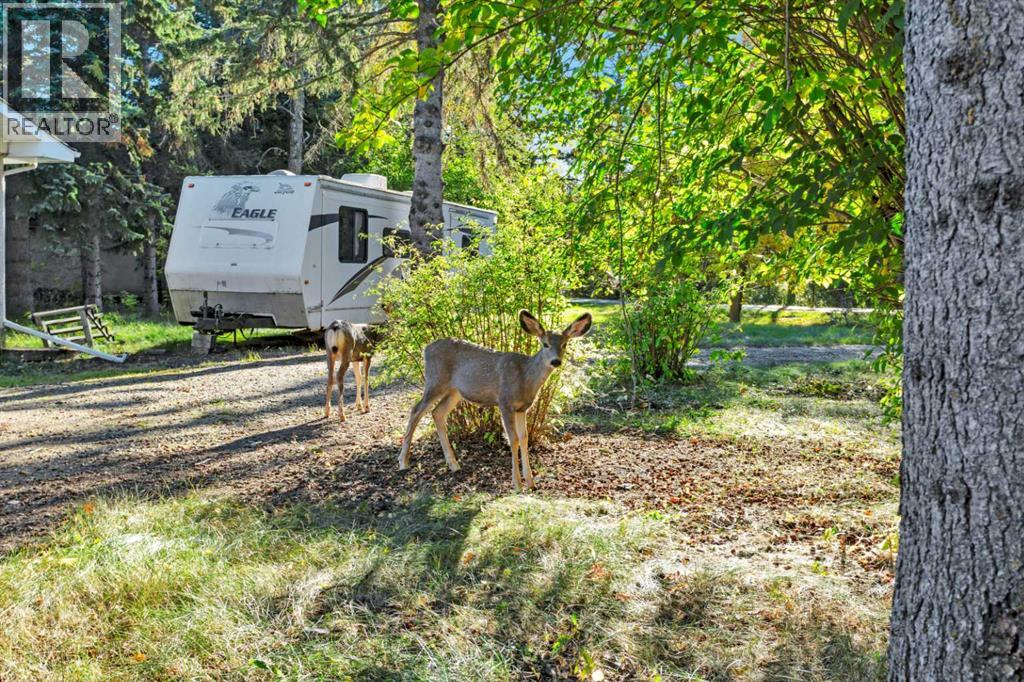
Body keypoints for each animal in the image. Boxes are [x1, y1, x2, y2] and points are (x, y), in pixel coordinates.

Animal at [398, 309, 593, 491]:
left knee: (437, 412)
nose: (556, 361)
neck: (525, 378)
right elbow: (513, 439)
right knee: (416, 410)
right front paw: (517, 484)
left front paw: (531, 482)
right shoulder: (505, 402)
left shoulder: (522, 408)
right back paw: (403, 462)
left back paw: (454, 465)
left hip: (455, 391)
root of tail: (425, 349)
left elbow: (524, 438)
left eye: (564, 344)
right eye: (545, 344)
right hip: (435, 380)